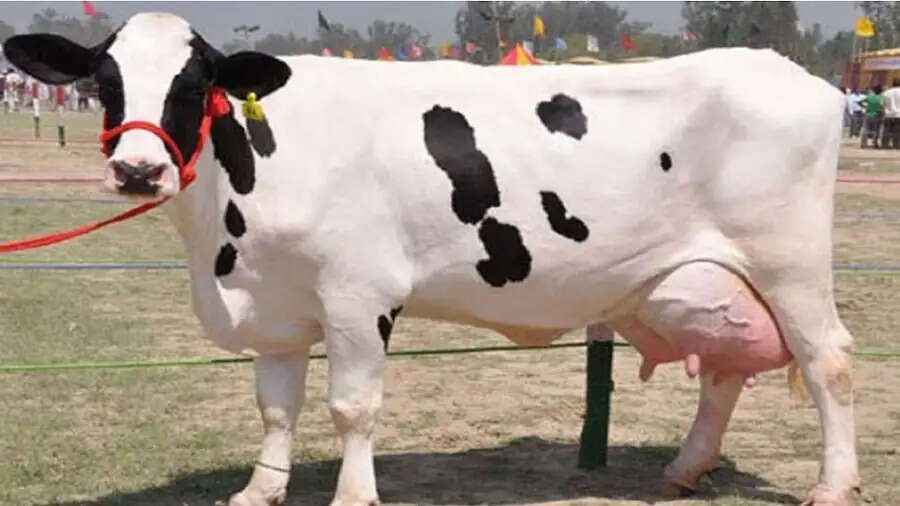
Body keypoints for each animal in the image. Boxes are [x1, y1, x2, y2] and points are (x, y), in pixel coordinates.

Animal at [3, 12, 858, 506]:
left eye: (195, 82)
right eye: (104, 81)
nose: (137, 169)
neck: (222, 241)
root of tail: (792, 74)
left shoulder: (358, 290)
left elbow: (352, 408)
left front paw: (353, 497)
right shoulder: (275, 299)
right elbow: (276, 408)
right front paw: (258, 491)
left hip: (790, 264)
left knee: (830, 364)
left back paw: (834, 485)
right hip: (705, 278)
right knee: (724, 371)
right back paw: (685, 469)